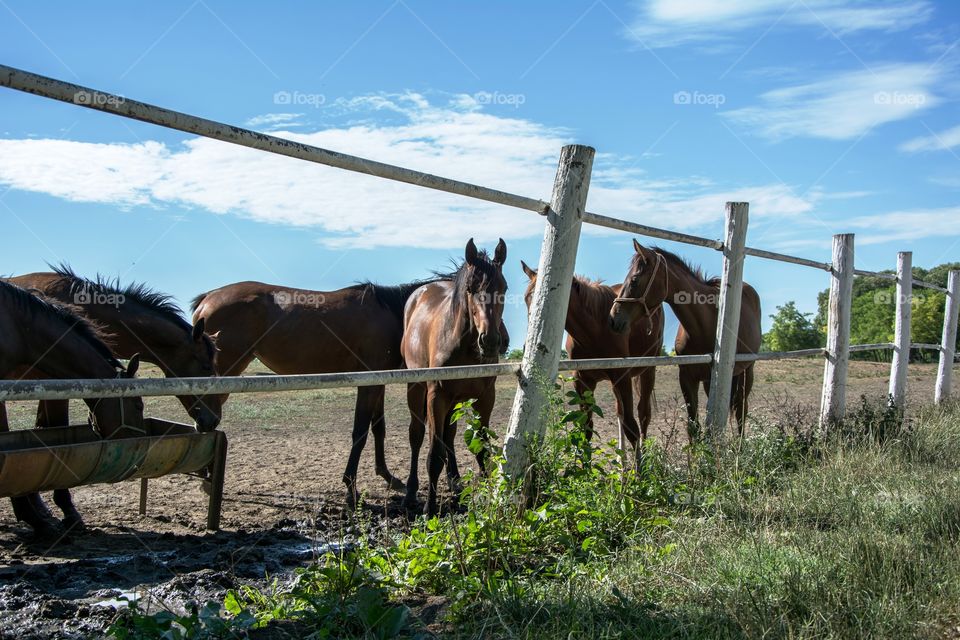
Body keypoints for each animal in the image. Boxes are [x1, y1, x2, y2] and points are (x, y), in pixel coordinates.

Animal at [402, 238, 510, 516]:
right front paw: (429, 507)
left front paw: (488, 498)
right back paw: (410, 492)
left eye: (504, 288)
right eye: (471, 289)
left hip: (456, 402)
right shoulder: (436, 396)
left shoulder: (485, 398)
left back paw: (455, 481)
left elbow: (481, 449)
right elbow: (434, 454)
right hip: (416, 388)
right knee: (417, 434)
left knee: (449, 434)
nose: (491, 341)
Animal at [520, 260, 664, 460]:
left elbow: (631, 426)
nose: (529, 346)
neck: (594, 331)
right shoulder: (583, 381)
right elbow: (586, 429)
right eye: (527, 299)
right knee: (620, 412)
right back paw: (621, 460)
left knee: (643, 413)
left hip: (648, 370)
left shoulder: (622, 376)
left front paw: (640, 468)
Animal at [612, 240, 760, 436]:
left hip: (746, 371)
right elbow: (694, 427)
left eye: (634, 280)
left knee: (741, 410)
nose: (613, 318)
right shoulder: (688, 377)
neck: (705, 323)